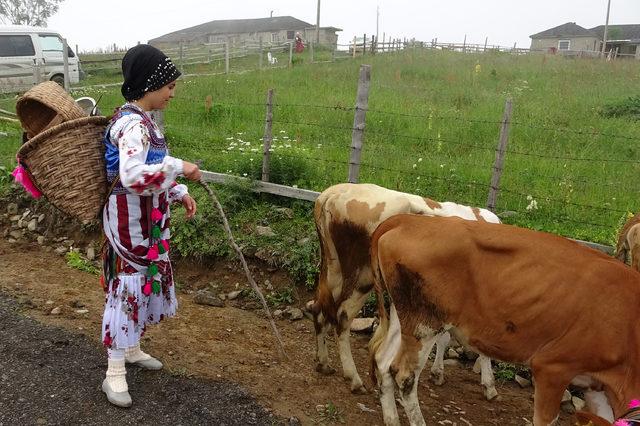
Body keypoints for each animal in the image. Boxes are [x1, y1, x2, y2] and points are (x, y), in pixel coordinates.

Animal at [310, 183, 500, 396]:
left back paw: (324, 363)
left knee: (319, 309)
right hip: (362, 275)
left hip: (334, 270)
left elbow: (444, 338)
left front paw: (437, 372)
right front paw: (489, 384)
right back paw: (354, 379)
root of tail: (333, 193)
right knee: (342, 316)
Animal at [368, 215, 640, 426]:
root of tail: (406, 220)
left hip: (402, 314)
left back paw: (391, 419)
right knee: (403, 375)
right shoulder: (552, 368)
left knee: (383, 360)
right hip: (426, 322)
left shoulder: (597, 386)